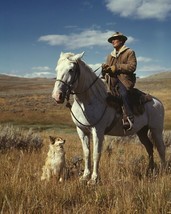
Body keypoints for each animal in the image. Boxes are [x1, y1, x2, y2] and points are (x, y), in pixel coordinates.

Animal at [52, 52, 166, 185]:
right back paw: (150, 171)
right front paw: (85, 176)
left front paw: (94, 179)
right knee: (149, 148)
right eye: (56, 69)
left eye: (71, 70)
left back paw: (163, 172)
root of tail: (157, 102)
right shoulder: (81, 130)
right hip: (141, 131)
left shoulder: (98, 130)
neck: (88, 100)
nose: (57, 96)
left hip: (156, 130)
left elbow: (96, 153)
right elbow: (86, 153)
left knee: (161, 148)